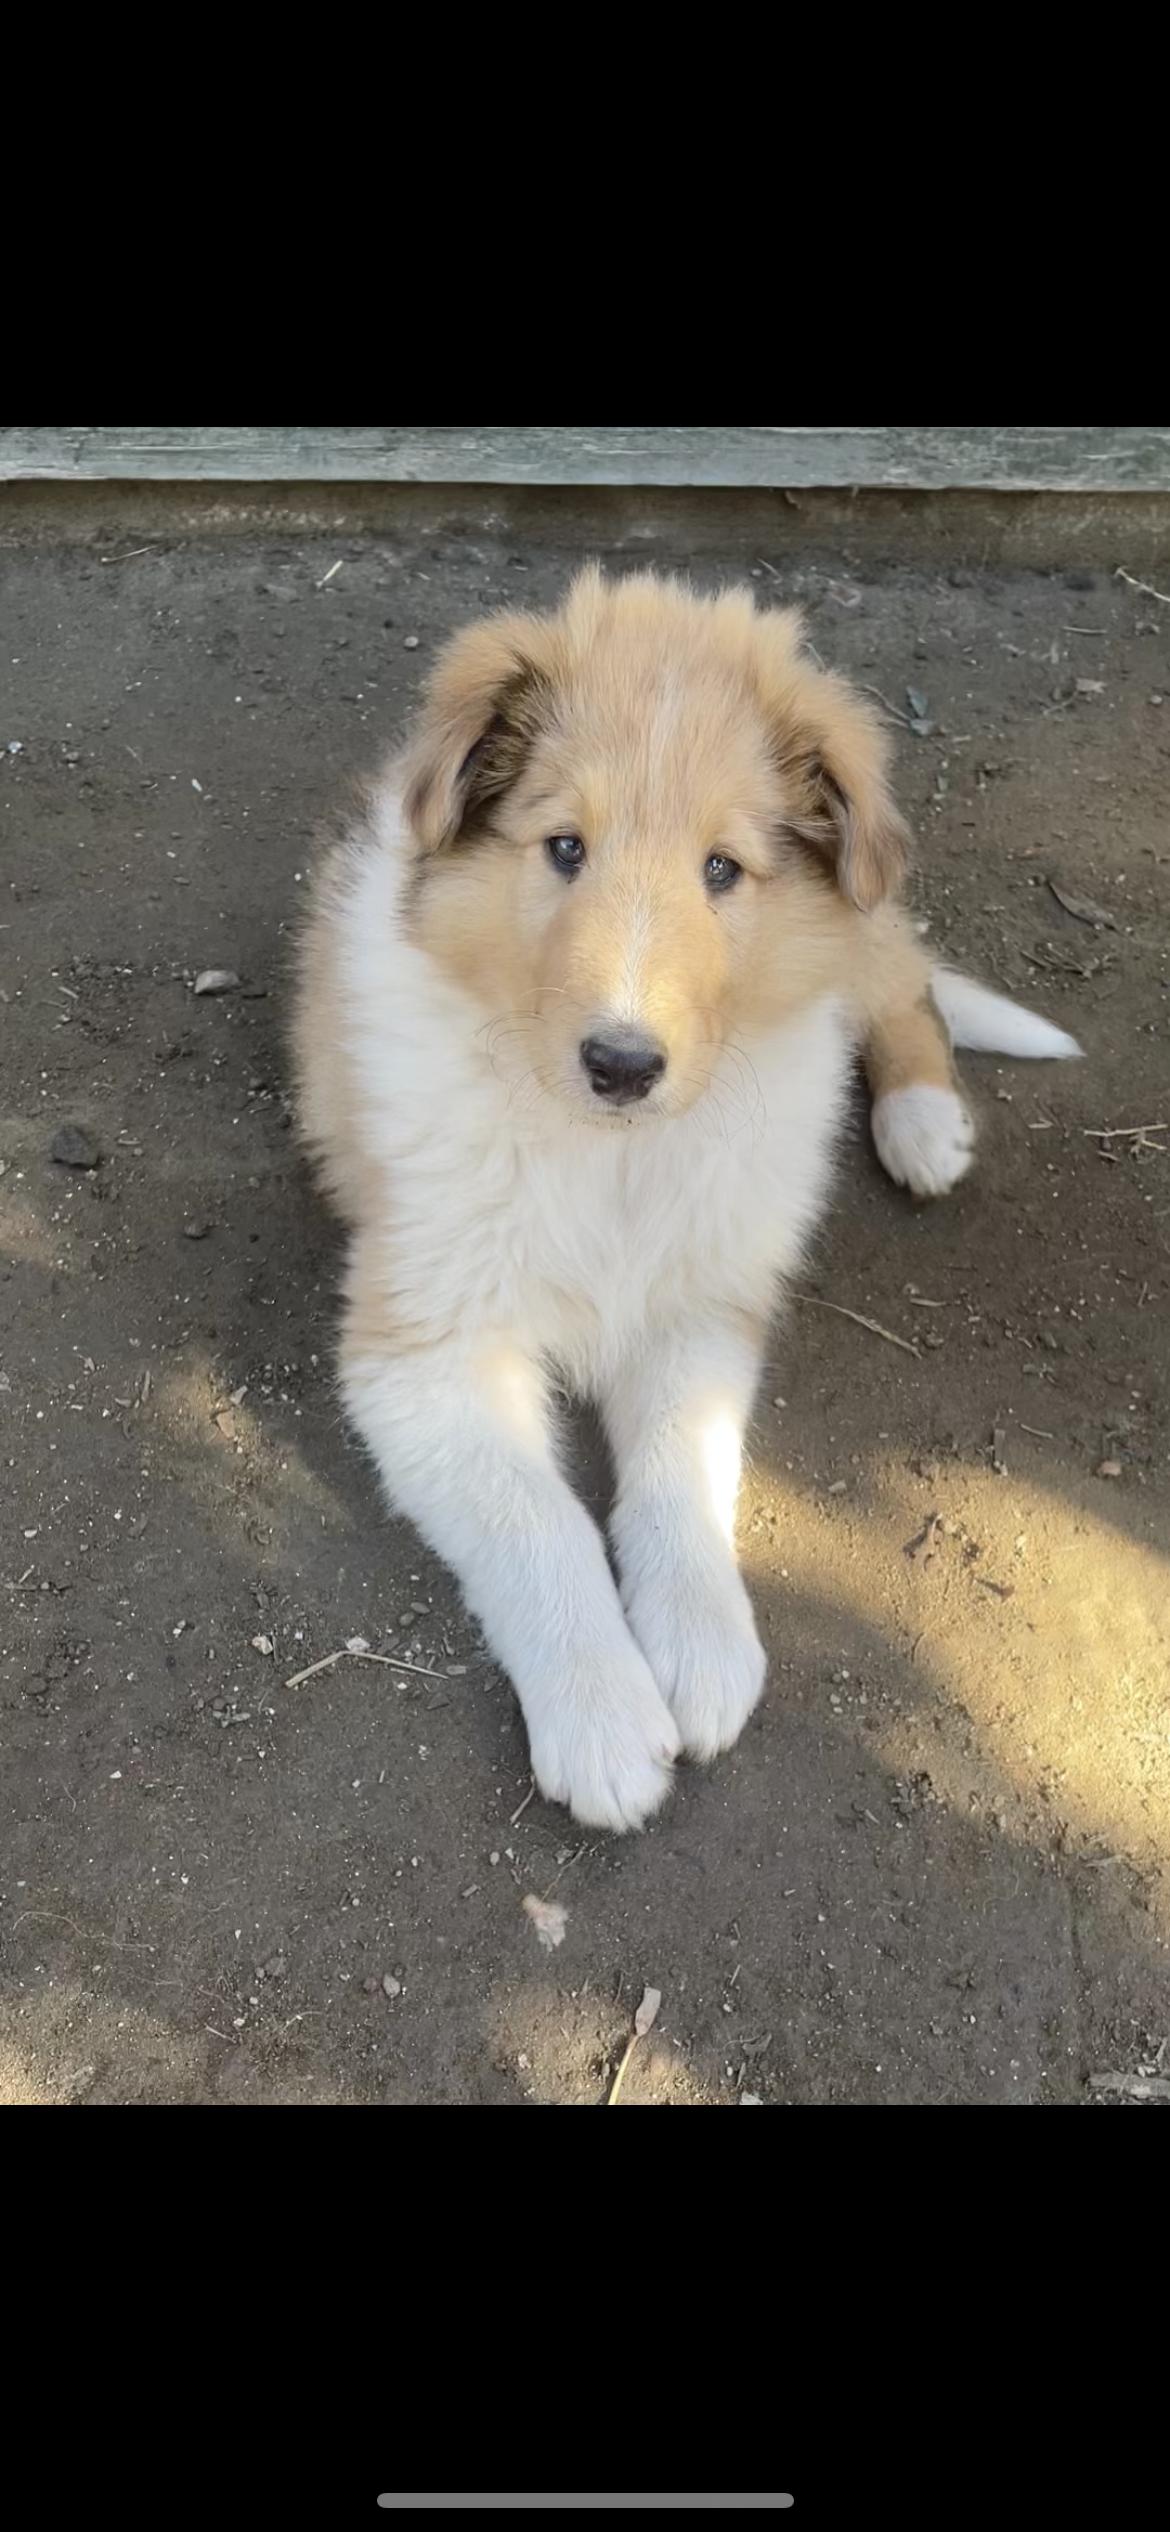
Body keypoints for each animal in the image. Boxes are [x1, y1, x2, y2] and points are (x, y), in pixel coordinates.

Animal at [293, 567, 1079, 1830]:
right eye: (564, 847)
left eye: (722, 870)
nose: (621, 1064)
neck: (612, 1155)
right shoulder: (425, 1348)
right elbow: (539, 1520)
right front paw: (605, 1718)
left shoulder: (700, 1304)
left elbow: (682, 1468)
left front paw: (702, 1650)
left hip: (851, 923)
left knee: (901, 980)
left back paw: (922, 1123)